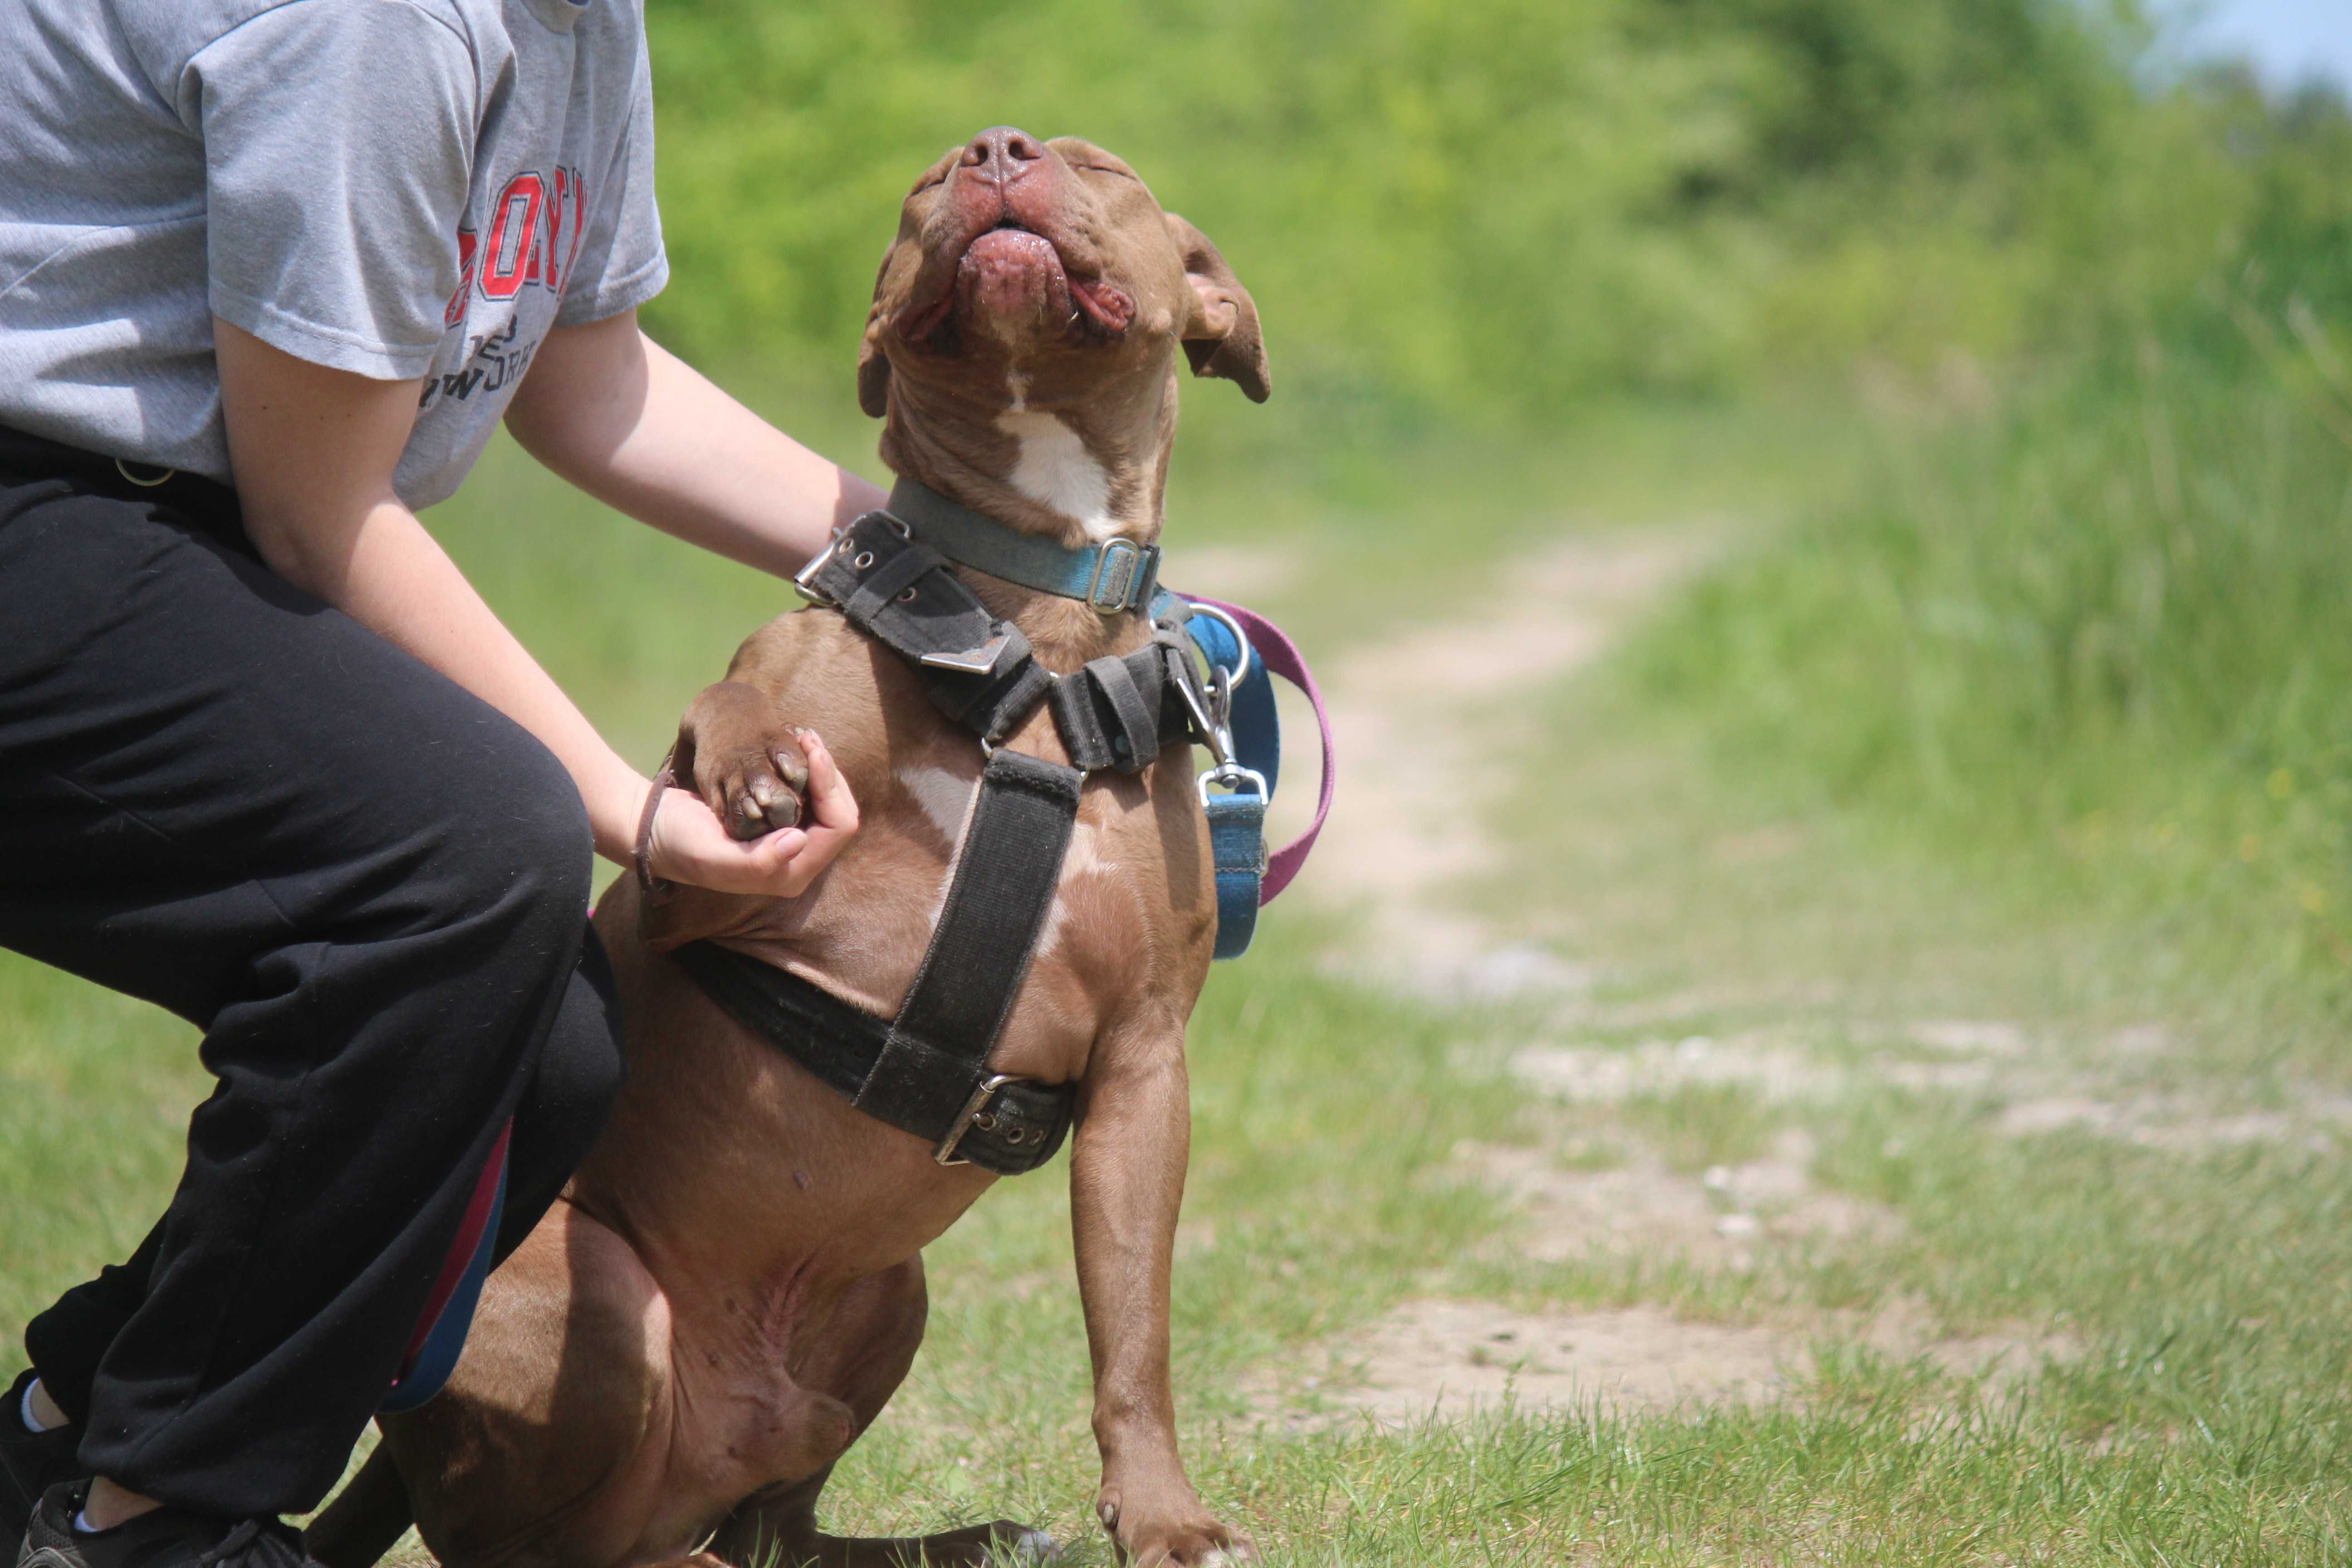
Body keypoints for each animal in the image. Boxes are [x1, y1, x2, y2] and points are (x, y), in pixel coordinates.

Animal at [313, 126, 1279, 1568]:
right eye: (929, 180)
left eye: (1098, 162)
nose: (997, 148)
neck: (1027, 625)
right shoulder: (675, 893)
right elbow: (729, 711)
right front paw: (751, 754)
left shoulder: (1143, 1067)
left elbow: (1133, 1331)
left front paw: (1160, 1516)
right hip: (591, 1293)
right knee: (550, 1539)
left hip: (891, 1301)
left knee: (779, 1522)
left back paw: (951, 1539)